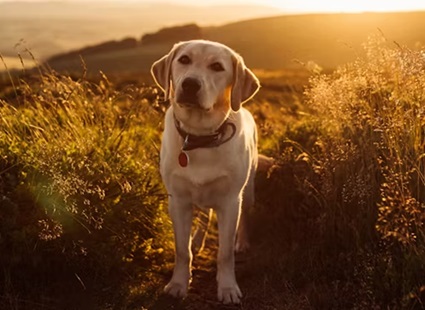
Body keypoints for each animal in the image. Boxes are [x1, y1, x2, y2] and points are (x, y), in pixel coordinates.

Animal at [151, 40, 260, 304]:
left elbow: (225, 253)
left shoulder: (230, 201)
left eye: (217, 66)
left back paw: (242, 242)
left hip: (248, 191)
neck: (199, 137)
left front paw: (228, 288)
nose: (190, 84)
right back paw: (198, 240)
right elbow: (182, 251)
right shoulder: (178, 200)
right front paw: (178, 284)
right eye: (184, 60)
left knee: (245, 217)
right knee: (203, 216)